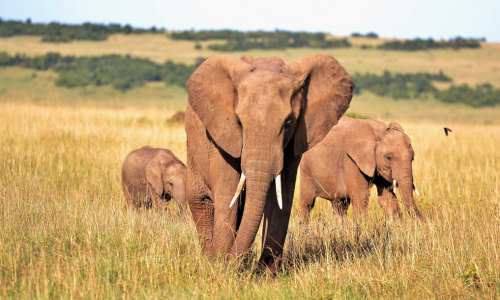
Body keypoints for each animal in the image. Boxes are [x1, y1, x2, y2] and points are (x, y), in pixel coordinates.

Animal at [185, 54, 356, 274]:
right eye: (238, 121)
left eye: (289, 123)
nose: (232, 262)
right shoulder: (222, 135)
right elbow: (227, 193)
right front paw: (222, 266)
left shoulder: (294, 141)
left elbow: (282, 197)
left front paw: (265, 274)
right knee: (201, 201)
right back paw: (210, 259)